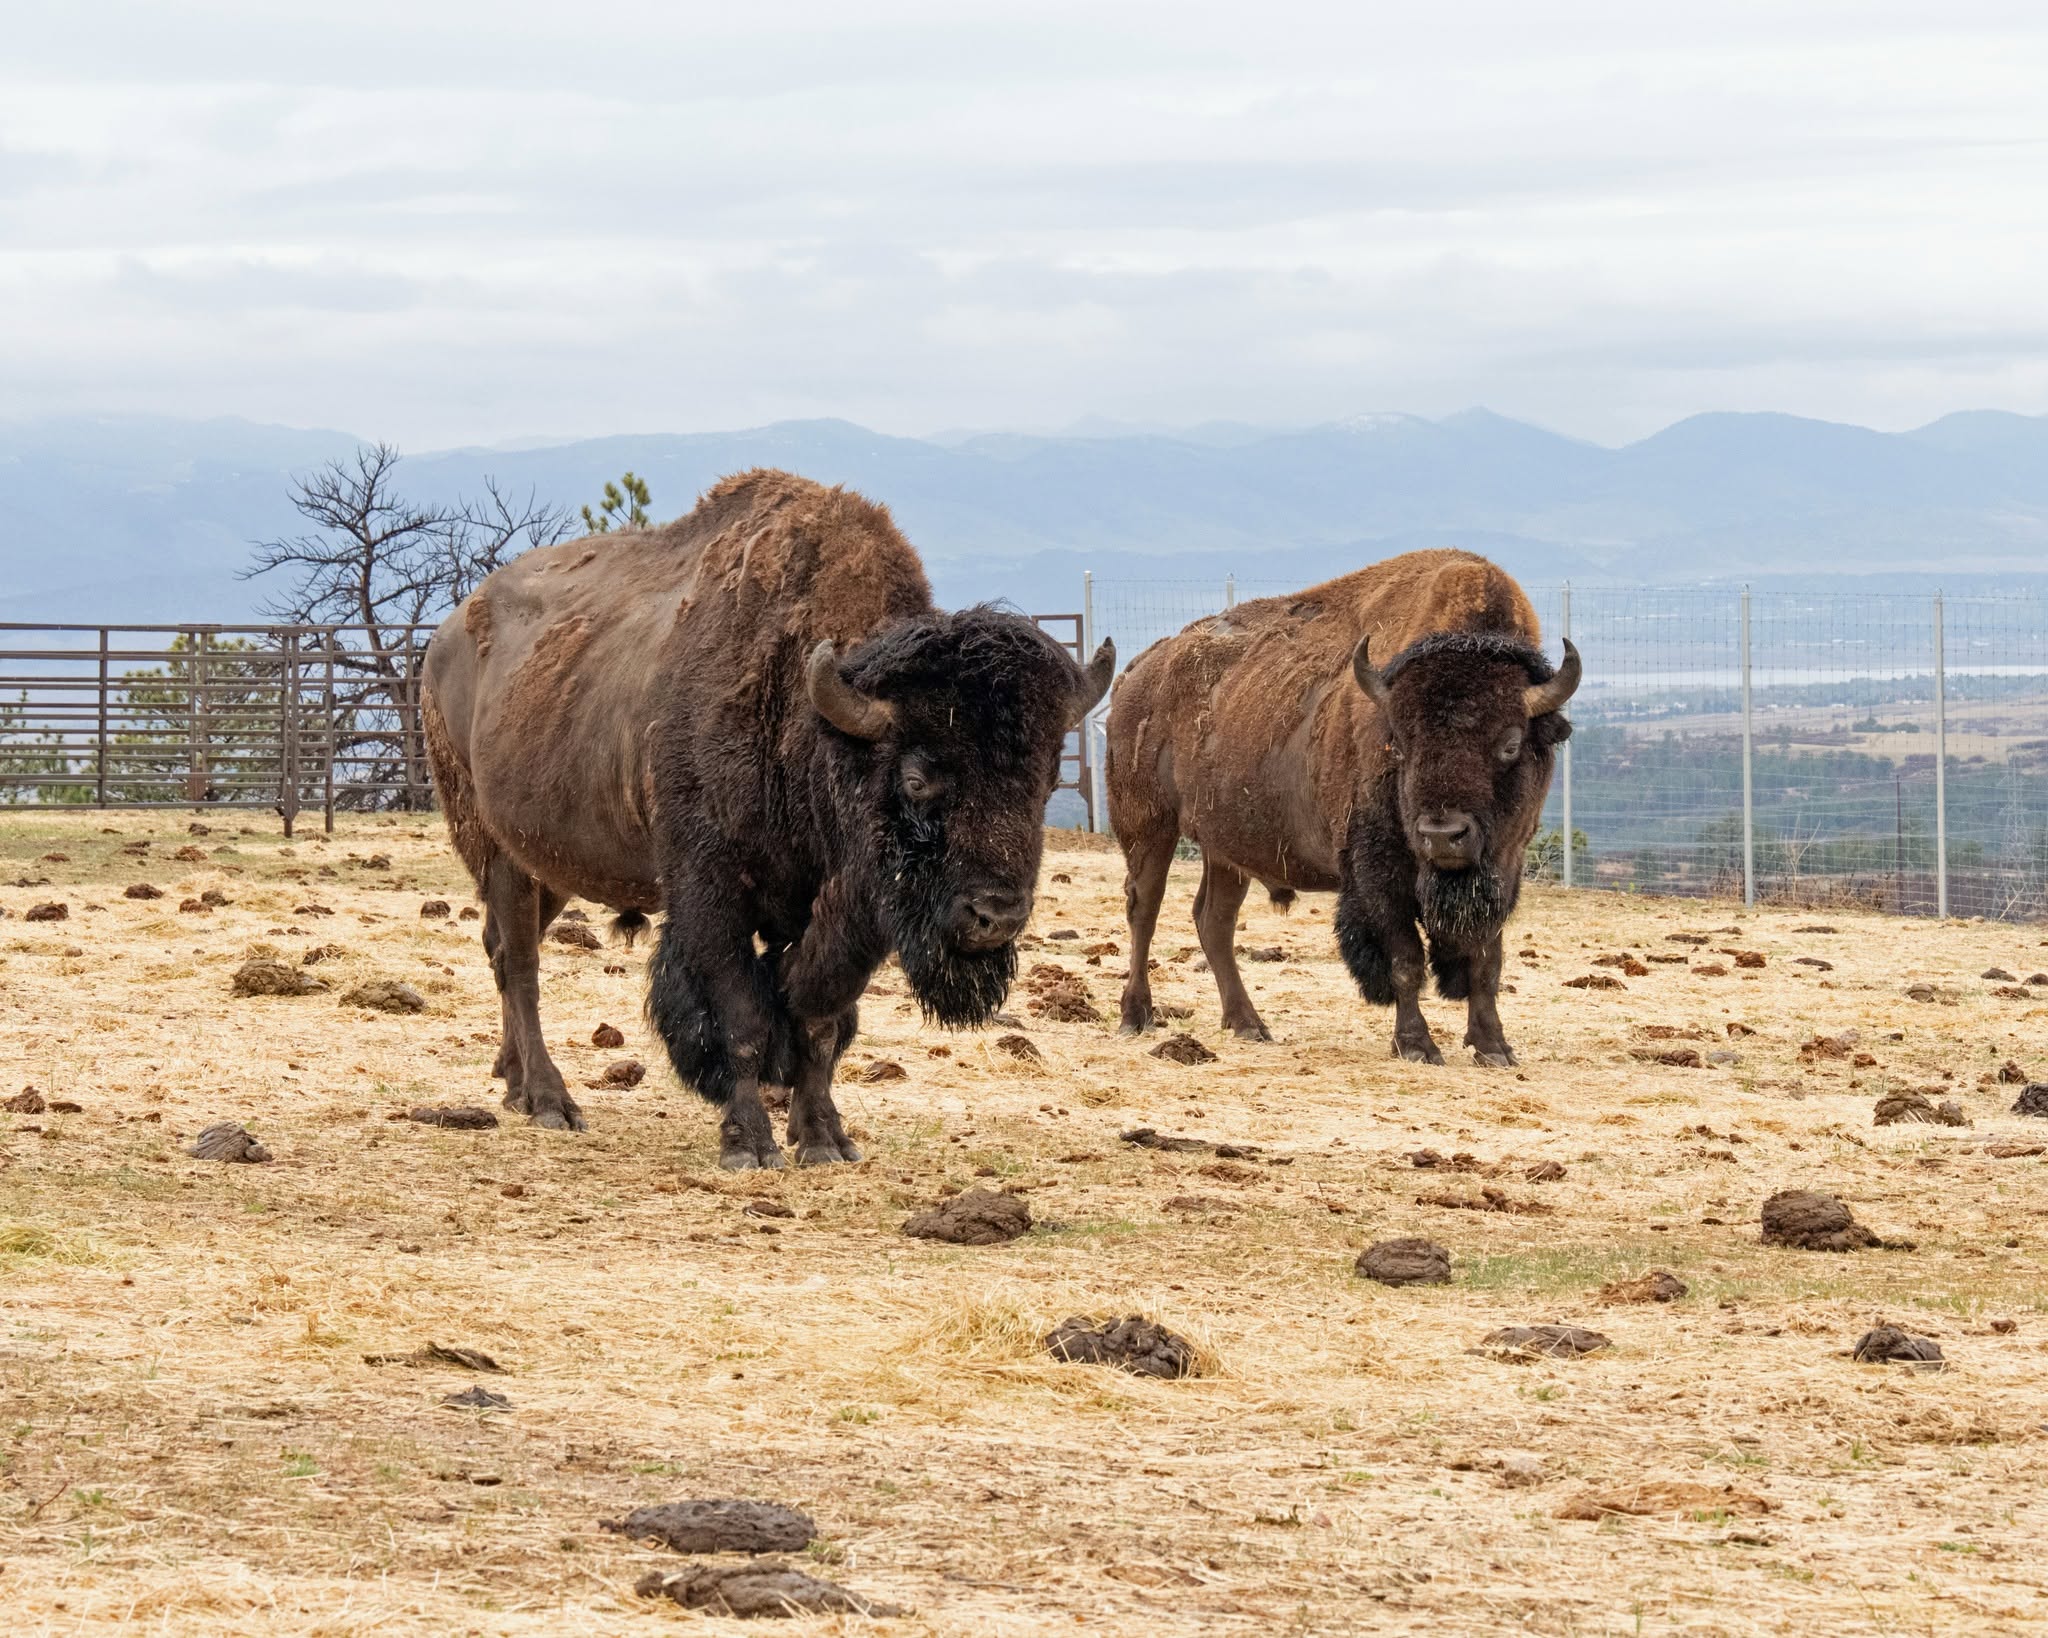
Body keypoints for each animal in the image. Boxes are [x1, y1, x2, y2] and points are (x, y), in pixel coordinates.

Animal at [423, 469, 1111, 1163]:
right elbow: (744, 1020)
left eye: (1045, 782)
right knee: (520, 964)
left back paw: (512, 1084)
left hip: (552, 863)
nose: (997, 917)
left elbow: (819, 1021)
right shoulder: (712, 894)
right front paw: (749, 1143)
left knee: (503, 948)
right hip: (496, 848)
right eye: (916, 780)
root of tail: (444, 639)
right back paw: (549, 1101)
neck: (812, 721)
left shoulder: (843, 916)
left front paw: (824, 1139)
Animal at [1105, 549, 1577, 1064]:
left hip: (1224, 846)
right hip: (1147, 825)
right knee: (1144, 909)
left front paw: (1494, 1047)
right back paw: (1136, 1016)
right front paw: (1416, 1046)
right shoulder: (1379, 875)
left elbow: (1486, 960)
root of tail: (1137, 673)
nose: (1442, 835)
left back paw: (1248, 1024)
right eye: (1399, 743)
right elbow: (1405, 959)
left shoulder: (1502, 868)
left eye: (1510, 743)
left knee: (1214, 921)